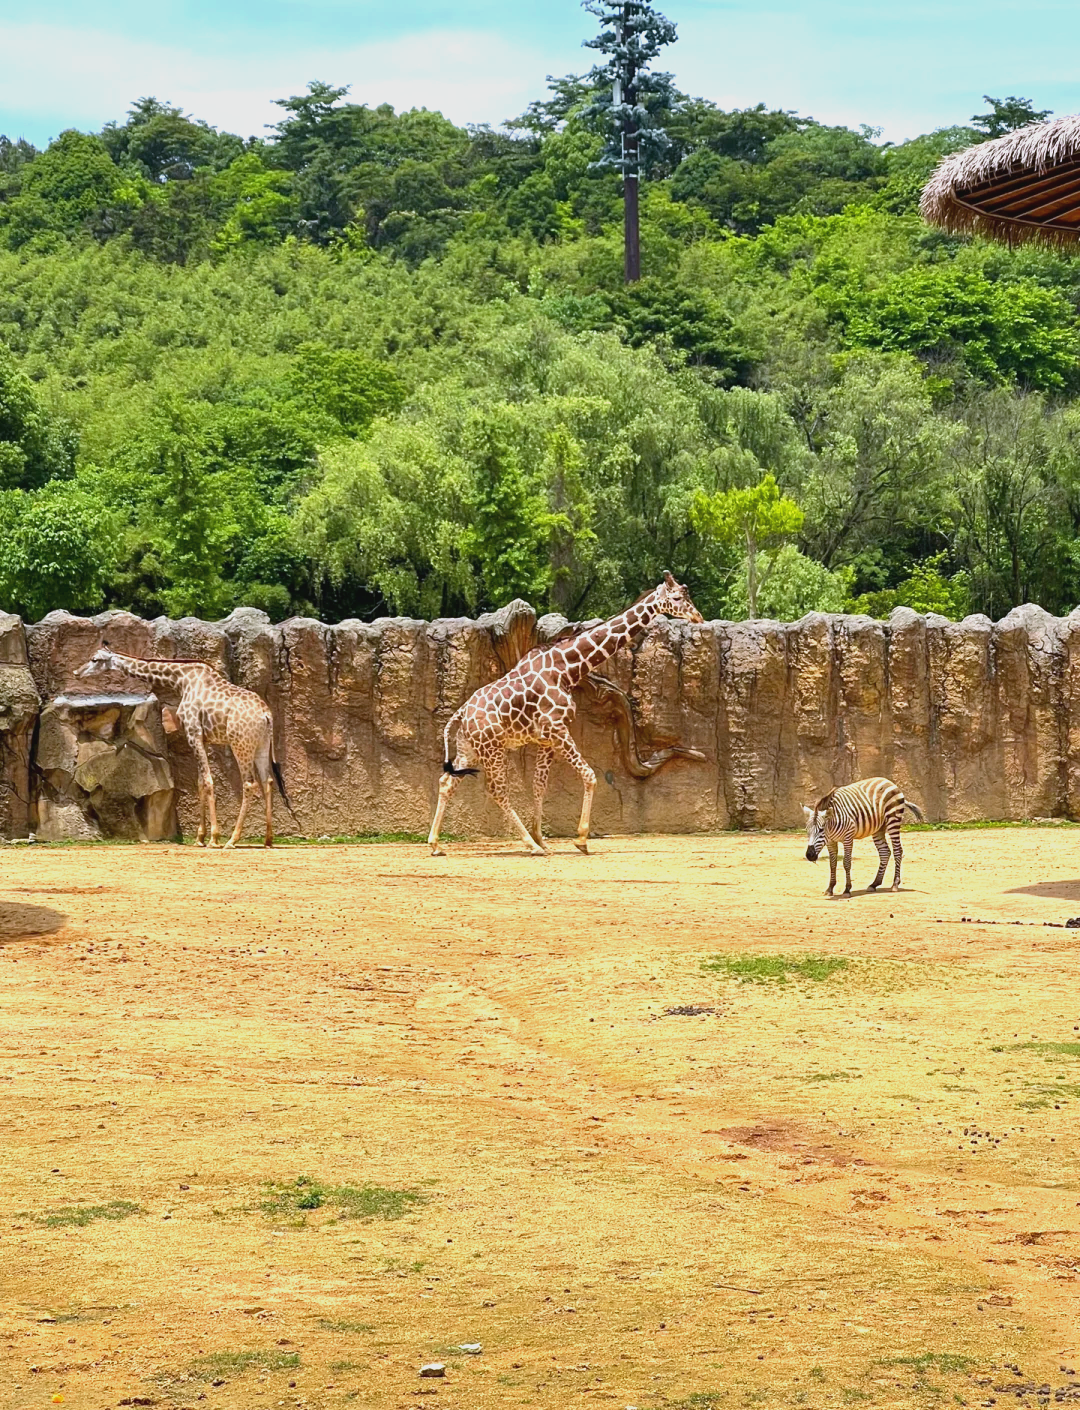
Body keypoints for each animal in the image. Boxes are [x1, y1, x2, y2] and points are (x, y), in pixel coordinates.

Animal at [74, 645, 296, 846]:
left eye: (95, 659)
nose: (76, 672)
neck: (181, 680)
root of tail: (266, 715)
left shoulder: (193, 734)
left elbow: (207, 781)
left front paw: (213, 838)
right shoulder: (203, 739)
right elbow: (199, 783)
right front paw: (200, 838)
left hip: (240, 744)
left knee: (249, 783)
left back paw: (232, 839)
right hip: (261, 745)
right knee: (268, 781)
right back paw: (268, 839)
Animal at [428, 572, 704, 857]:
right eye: (677, 598)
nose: (698, 617)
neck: (566, 669)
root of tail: (461, 714)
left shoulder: (546, 738)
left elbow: (539, 785)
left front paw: (542, 838)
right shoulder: (557, 729)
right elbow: (590, 775)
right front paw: (579, 839)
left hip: (470, 748)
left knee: (447, 781)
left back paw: (436, 844)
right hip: (492, 748)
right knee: (496, 790)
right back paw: (529, 846)